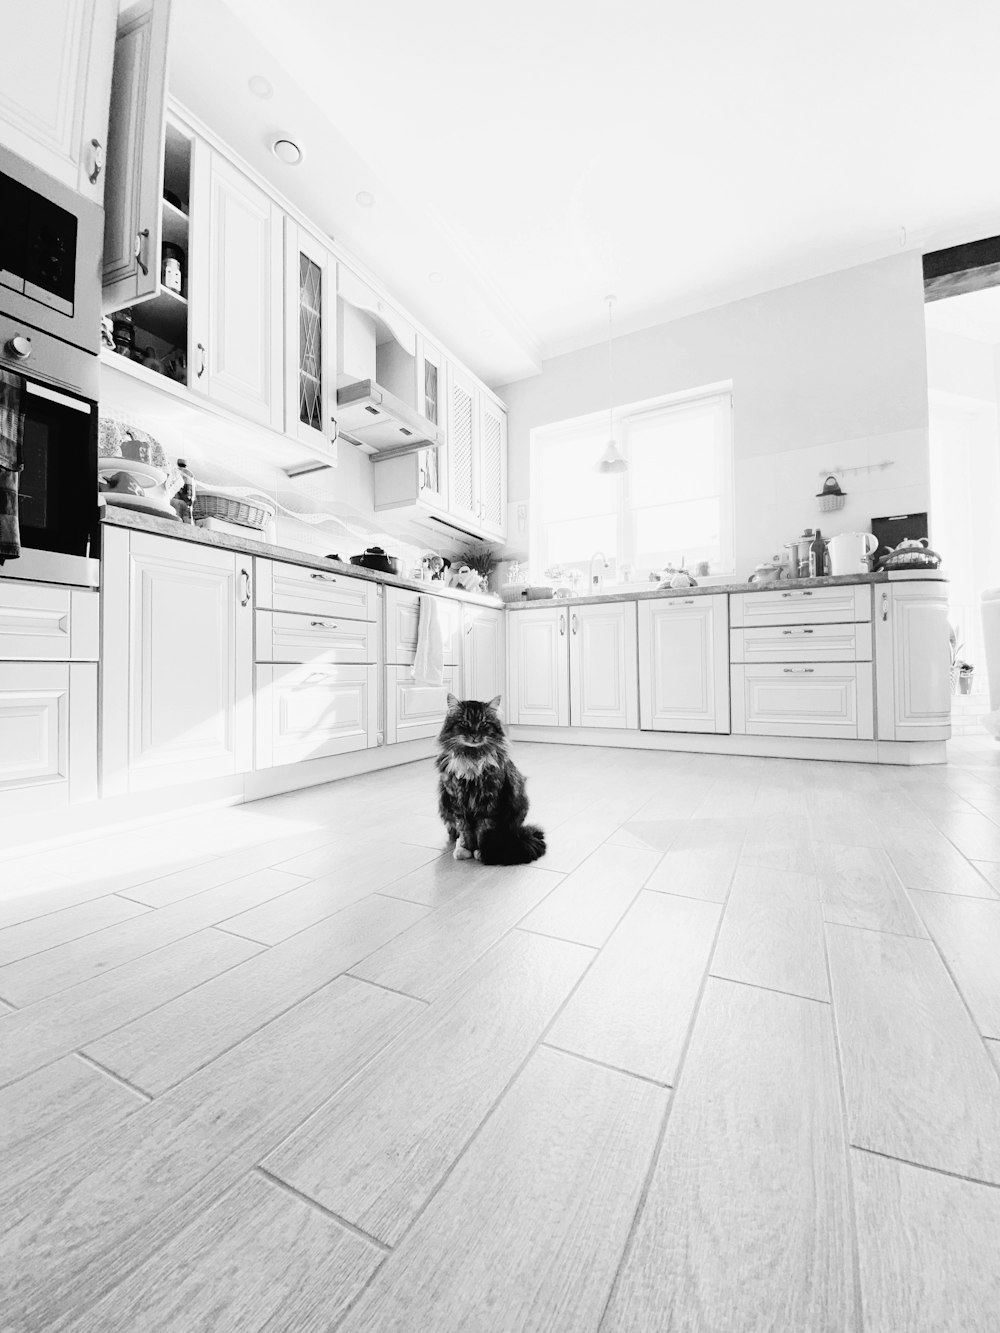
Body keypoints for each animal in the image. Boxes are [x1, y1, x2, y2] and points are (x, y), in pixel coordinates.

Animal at [437, 693, 549, 869]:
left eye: (483, 723)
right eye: (464, 723)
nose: (474, 735)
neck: (472, 757)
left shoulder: (489, 803)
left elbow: (483, 831)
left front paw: (481, 852)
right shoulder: (457, 802)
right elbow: (464, 830)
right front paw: (465, 849)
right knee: (453, 832)